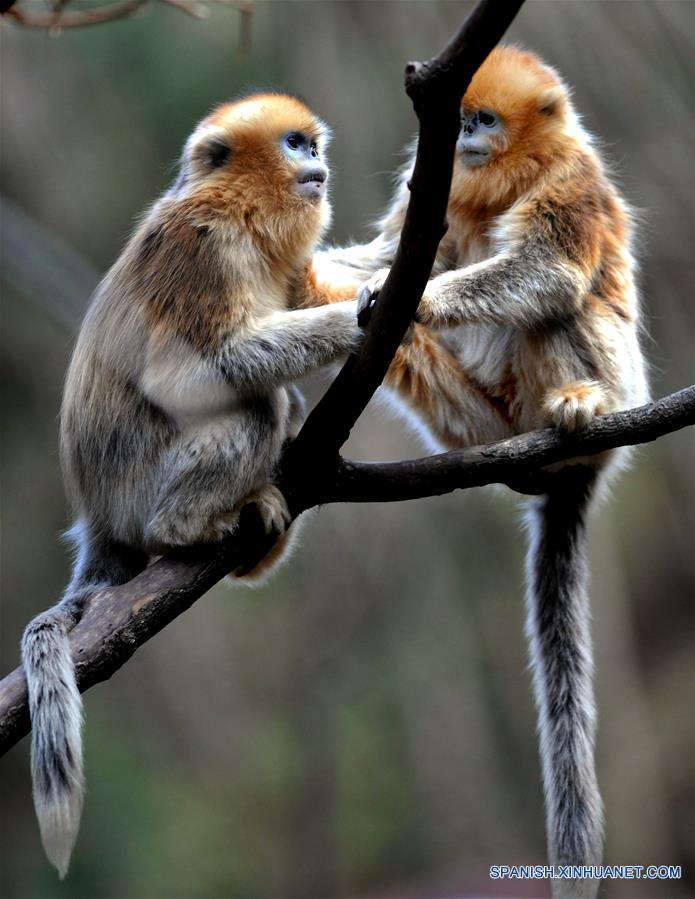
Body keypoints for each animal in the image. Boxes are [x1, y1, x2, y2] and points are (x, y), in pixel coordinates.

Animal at [308, 47, 648, 899]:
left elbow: (548, 270)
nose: (460, 136)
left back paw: (580, 405)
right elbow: (380, 259)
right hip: (474, 417)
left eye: (483, 119)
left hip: (610, 386)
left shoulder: (572, 181)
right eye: (457, 116)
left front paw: (413, 299)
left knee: (560, 305)